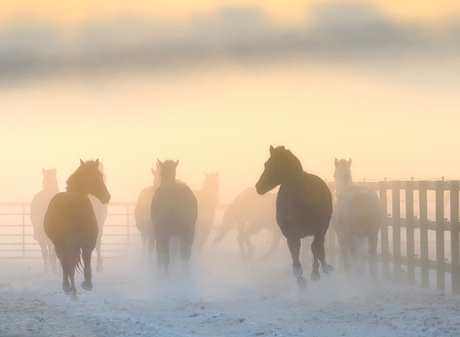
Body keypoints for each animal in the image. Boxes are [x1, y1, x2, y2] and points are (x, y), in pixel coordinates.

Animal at [43, 159, 111, 298]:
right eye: (99, 176)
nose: (107, 197)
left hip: (60, 243)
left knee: (65, 262)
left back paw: (68, 287)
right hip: (84, 240)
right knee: (84, 257)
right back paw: (86, 283)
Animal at [255, 145, 334, 286]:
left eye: (268, 164)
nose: (258, 187)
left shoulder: (317, 230)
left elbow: (313, 248)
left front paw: (313, 273)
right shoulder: (292, 232)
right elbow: (296, 249)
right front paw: (300, 275)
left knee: (316, 247)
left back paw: (320, 269)